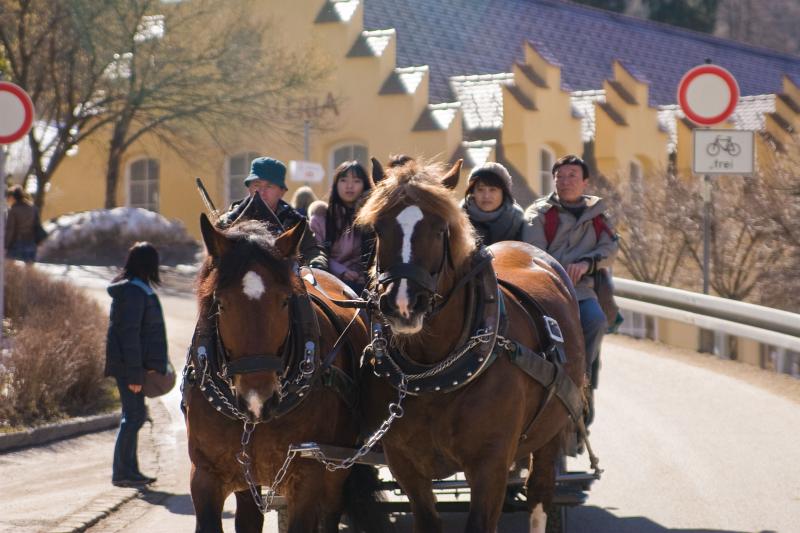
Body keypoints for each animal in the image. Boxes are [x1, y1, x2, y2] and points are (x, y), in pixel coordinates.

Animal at [183, 214, 382, 528]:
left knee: (331, 511)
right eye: (221, 303)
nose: (258, 400)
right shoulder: (205, 476)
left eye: (285, 300)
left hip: (336, 467)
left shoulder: (306, 477)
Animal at [356, 158, 588, 532]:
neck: (434, 374)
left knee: (539, 492)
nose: (404, 304)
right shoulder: (405, 464)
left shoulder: (489, 466)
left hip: (552, 430)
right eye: (378, 228)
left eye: (440, 229)